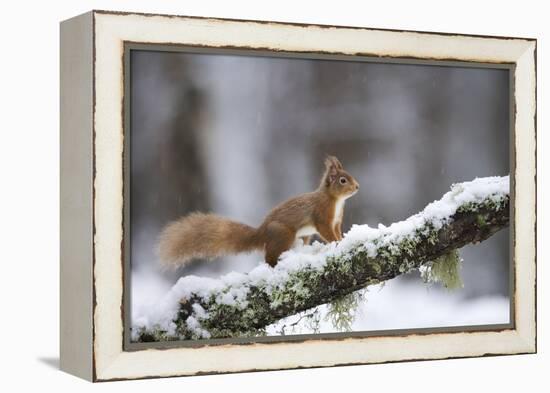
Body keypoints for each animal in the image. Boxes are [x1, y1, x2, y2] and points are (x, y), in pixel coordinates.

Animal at [158, 155, 362, 266]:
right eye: (343, 180)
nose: (357, 187)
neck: (336, 201)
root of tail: (262, 233)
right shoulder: (322, 216)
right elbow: (327, 232)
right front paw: (337, 243)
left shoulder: (336, 220)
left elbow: (337, 231)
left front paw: (342, 239)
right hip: (283, 234)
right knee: (269, 257)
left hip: (302, 236)